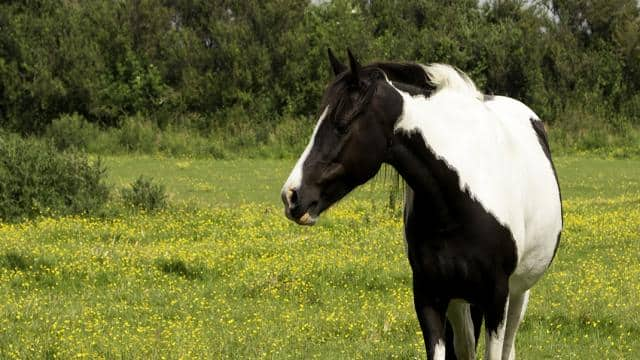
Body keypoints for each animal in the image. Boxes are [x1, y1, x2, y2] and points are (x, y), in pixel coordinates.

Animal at [280, 48, 560, 360]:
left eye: (342, 125)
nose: (292, 195)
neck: (460, 202)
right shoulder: (429, 296)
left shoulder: (496, 297)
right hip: (460, 301)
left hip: (517, 293)